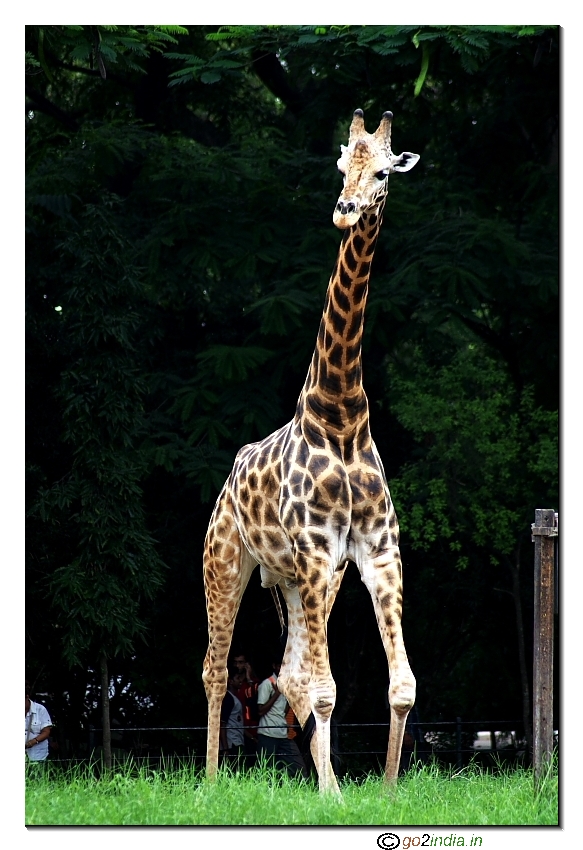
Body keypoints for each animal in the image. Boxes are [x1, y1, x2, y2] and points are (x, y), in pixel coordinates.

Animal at [203, 108, 419, 793]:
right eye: (342, 164)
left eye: (384, 171)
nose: (346, 209)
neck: (341, 413)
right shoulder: (321, 551)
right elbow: (327, 690)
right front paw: (334, 797)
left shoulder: (375, 552)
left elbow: (400, 686)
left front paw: (386, 789)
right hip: (227, 564)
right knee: (217, 669)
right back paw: (210, 781)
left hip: (296, 581)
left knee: (291, 673)